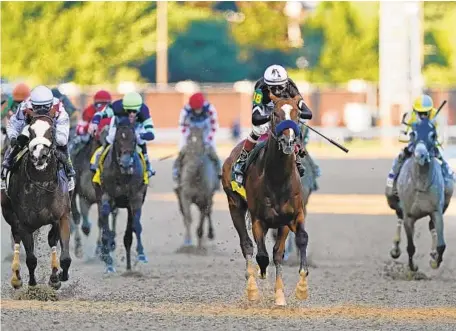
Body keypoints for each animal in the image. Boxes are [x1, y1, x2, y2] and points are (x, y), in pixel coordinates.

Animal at [1, 111, 72, 288]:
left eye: (52, 130)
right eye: (30, 131)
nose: (40, 156)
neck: (40, 184)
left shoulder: (61, 217)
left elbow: (64, 255)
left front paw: (58, 277)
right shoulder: (24, 223)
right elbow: (31, 258)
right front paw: (32, 283)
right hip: (9, 213)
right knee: (16, 237)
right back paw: (16, 277)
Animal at [95, 118, 149, 274]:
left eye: (134, 140)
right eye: (118, 140)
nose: (126, 163)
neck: (123, 176)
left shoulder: (136, 198)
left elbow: (136, 226)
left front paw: (141, 254)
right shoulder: (106, 195)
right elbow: (106, 225)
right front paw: (108, 260)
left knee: (128, 235)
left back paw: (129, 266)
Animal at [221, 93, 310, 306]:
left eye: (297, 114)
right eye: (275, 114)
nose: (288, 142)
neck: (277, 179)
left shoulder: (292, 217)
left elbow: (294, 243)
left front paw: (297, 289)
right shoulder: (258, 220)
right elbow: (262, 255)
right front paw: (260, 277)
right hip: (234, 205)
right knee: (247, 245)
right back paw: (253, 288)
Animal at [384, 118, 452, 274]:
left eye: (433, 135)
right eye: (412, 133)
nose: (420, 154)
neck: (421, 183)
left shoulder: (436, 211)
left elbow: (441, 245)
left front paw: (434, 261)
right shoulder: (409, 216)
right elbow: (410, 247)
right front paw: (412, 267)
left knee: (431, 226)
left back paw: (432, 254)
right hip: (392, 199)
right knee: (399, 217)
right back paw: (395, 249)